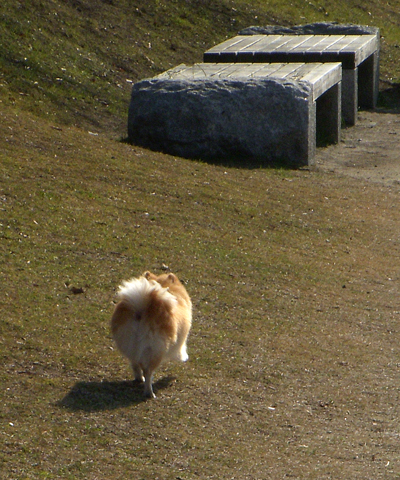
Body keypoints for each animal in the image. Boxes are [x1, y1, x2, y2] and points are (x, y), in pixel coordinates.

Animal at [111, 270, 192, 398]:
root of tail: (140, 310)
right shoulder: (181, 338)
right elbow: (181, 349)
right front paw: (183, 357)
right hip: (155, 351)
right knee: (148, 371)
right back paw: (149, 392)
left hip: (130, 345)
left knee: (135, 363)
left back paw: (139, 379)